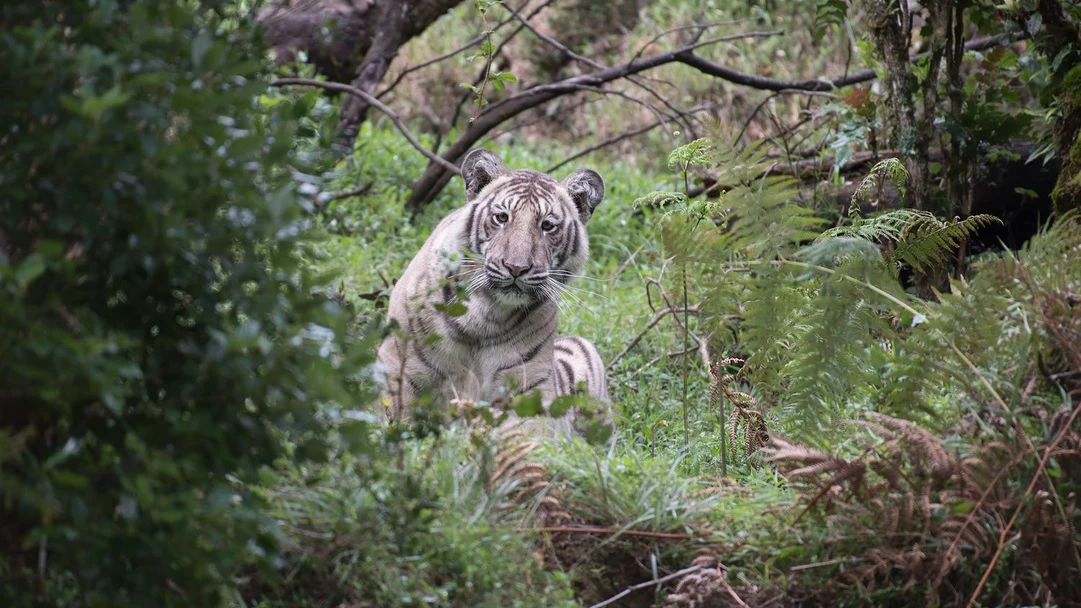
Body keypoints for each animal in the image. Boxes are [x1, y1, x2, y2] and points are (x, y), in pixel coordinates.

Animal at [376, 148, 610, 436]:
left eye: (547, 226)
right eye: (502, 218)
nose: (516, 267)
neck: (484, 313)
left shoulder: (528, 386)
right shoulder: (400, 363)